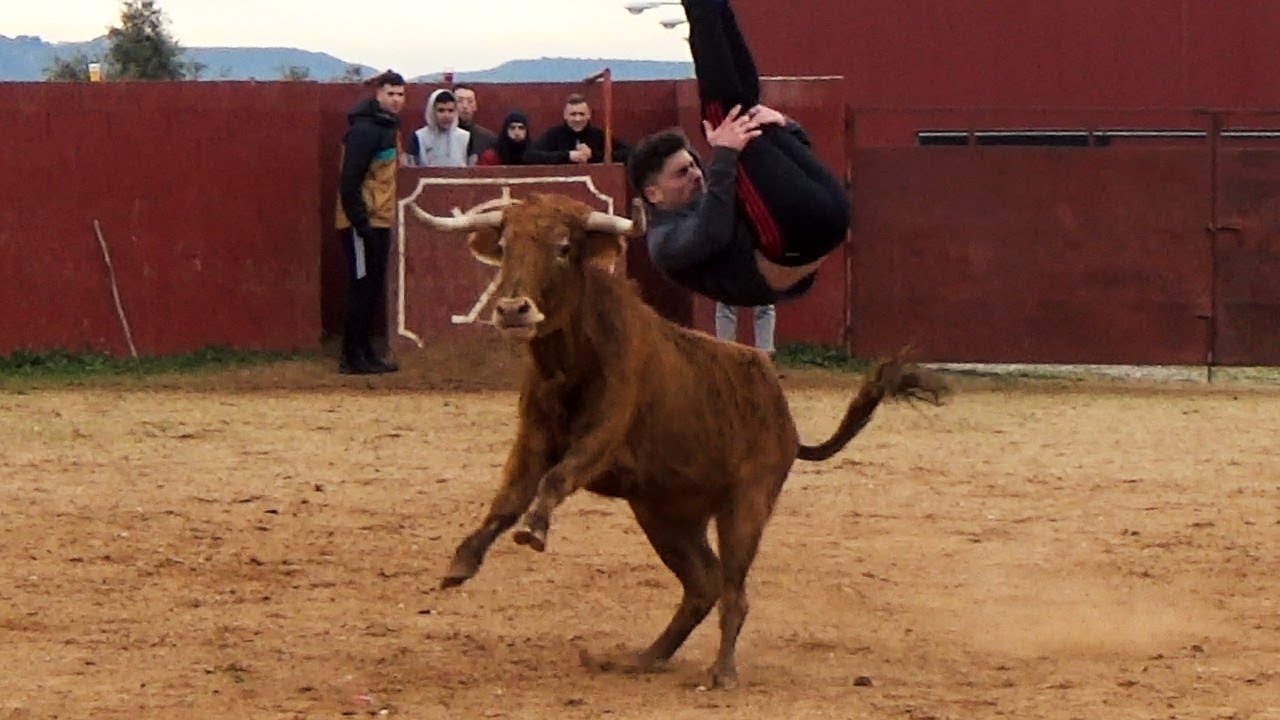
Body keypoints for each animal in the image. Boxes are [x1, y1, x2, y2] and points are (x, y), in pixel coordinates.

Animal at [409, 192, 946, 690]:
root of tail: (789, 424)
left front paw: (534, 530)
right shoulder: (533, 438)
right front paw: (461, 562)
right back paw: (646, 657)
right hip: (665, 516)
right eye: (504, 247)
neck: (569, 362)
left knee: (733, 590)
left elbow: (558, 477)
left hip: (746, 506)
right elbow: (508, 498)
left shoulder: (603, 436)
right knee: (703, 583)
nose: (512, 309)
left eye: (564, 247)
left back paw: (722, 672)